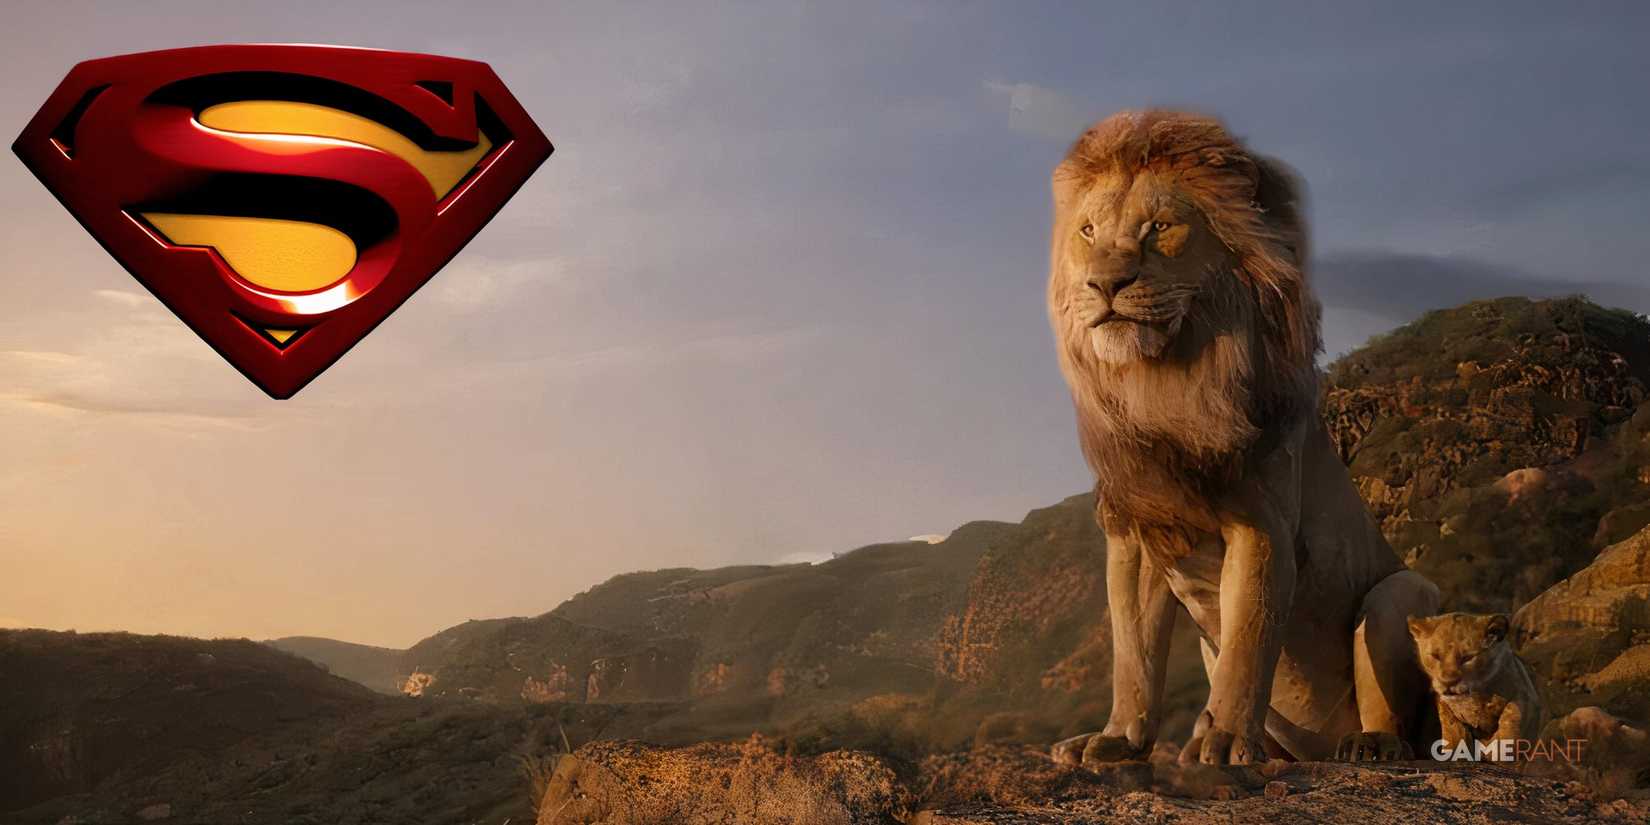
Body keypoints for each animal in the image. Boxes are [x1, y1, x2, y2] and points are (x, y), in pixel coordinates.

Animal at [1045, 110, 1440, 766]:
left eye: (1159, 227)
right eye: (1089, 230)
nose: (1105, 284)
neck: (1163, 386)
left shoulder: (1263, 526)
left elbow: (1249, 644)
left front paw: (1226, 740)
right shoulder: (1136, 532)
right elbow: (1133, 654)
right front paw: (1117, 739)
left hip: (1400, 595)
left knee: (1399, 712)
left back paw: (1369, 745)